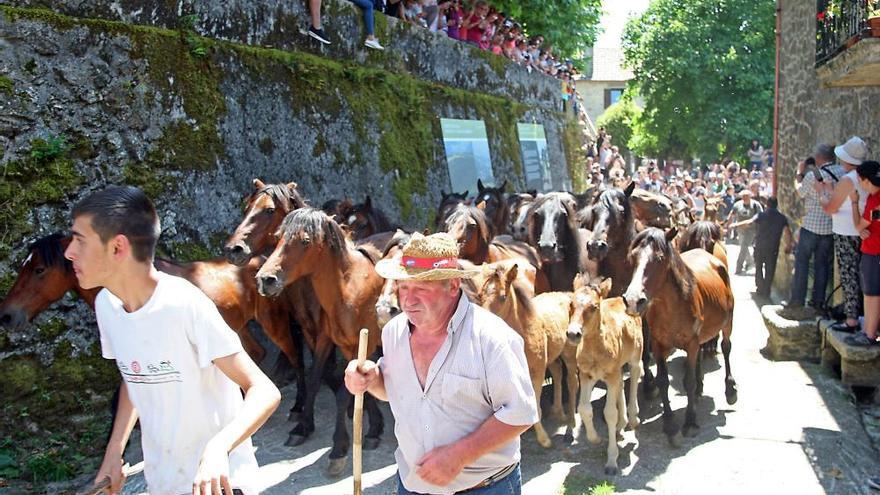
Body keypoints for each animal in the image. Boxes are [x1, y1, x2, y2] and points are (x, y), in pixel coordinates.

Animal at [254, 208, 384, 476]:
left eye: (305, 241)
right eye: (279, 237)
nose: (265, 279)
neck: (348, 289)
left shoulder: (362, 345)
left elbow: (344, 393)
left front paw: (339, 449)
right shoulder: (333, 342)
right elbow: (317, 379)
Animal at [568, 276, 644, 476]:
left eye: (594, 306)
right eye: (571, 304)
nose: (572, 333)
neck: (595, 348)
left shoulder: (610, 375)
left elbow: (609, 413)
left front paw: (611, 461)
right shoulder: (586, 375)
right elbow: (584, 409)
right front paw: (595, 438)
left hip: (635, 354)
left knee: (636, 372)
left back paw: (633, 418)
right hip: (616, 368)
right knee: (621, 384)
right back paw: (621, 425)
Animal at [624, 229, 740, 446]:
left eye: (660, 258)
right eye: (632, 258)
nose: (633, 300)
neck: (673, 307)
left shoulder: (691, 343)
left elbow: (688, 381)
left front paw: (690, 422)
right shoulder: (658, 345)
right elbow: (663, 381)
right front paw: (670, 425)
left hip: (728, 321)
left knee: (726, 347)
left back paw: (730, 390)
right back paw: (700, 389)